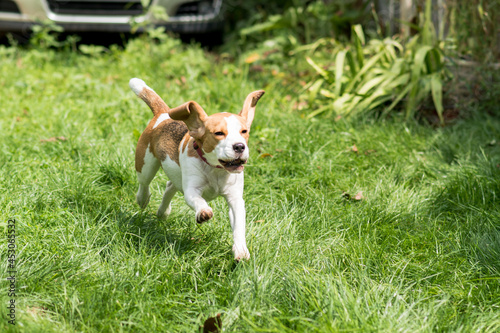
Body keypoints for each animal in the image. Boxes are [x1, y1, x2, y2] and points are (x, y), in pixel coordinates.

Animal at [129, 78, 266, 260]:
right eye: (219, 133)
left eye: (244, 131)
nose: (239, 146)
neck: (215, 169)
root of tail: (164, 113)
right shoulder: (192, 191)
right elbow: (199, 201)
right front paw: (203, 212)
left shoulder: (235, 199)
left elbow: (238, 226)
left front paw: (240, 250)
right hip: (146, 165)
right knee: (144, 184)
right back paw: (143, 199)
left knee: (170, 186)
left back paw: (163, 212)